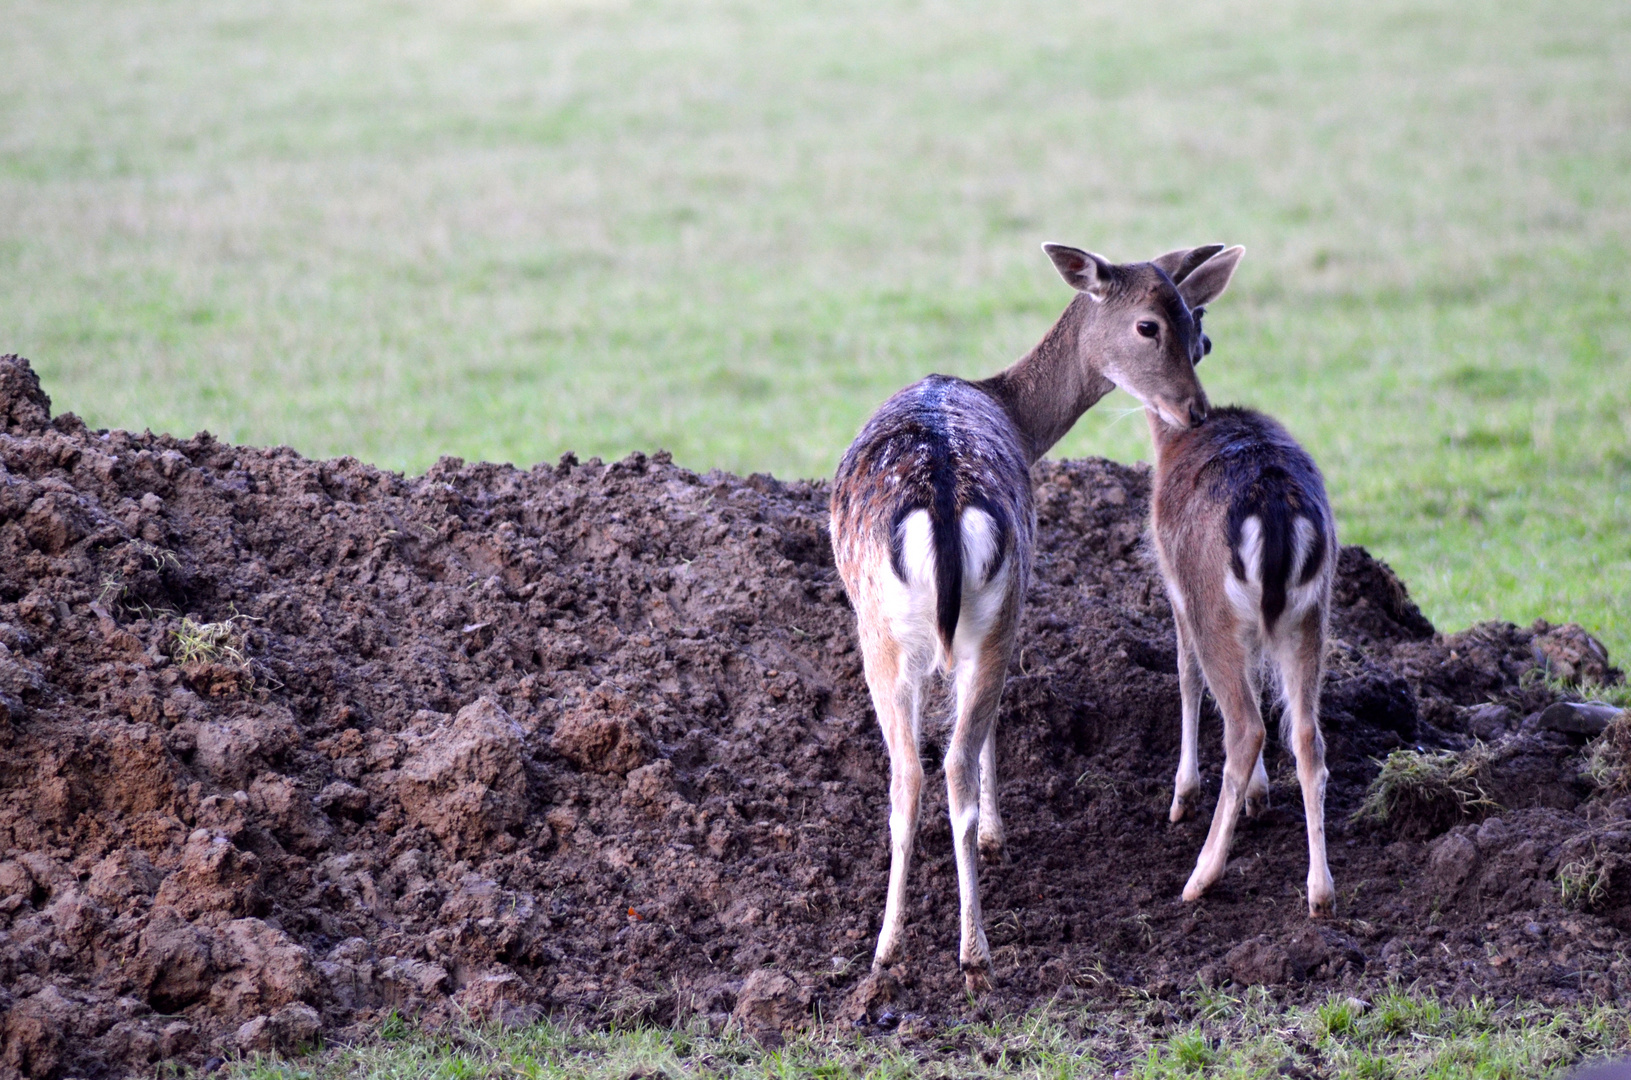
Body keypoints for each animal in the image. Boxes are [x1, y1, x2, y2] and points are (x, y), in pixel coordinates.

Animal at [835, 241, 1239, 991]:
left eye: (1190, 320)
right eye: (1153, 324)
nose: (1196, 411)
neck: (1016, 416)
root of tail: (941, 510)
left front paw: (996, 839)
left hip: (901, 628)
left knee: (921, 773)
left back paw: (917, 949)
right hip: (974, 616)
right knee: (940, 765)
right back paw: (955, 946)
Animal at [1148, 336, 1337, 913]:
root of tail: (1275, 513)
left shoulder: (1178, 588)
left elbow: (1185, 675)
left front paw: (1182, 796)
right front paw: (1260, 795)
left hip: (1212, 604)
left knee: (1247, 724)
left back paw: (1200, 876)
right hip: (1310, 613)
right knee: (1306, 735)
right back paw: (1321, 892)